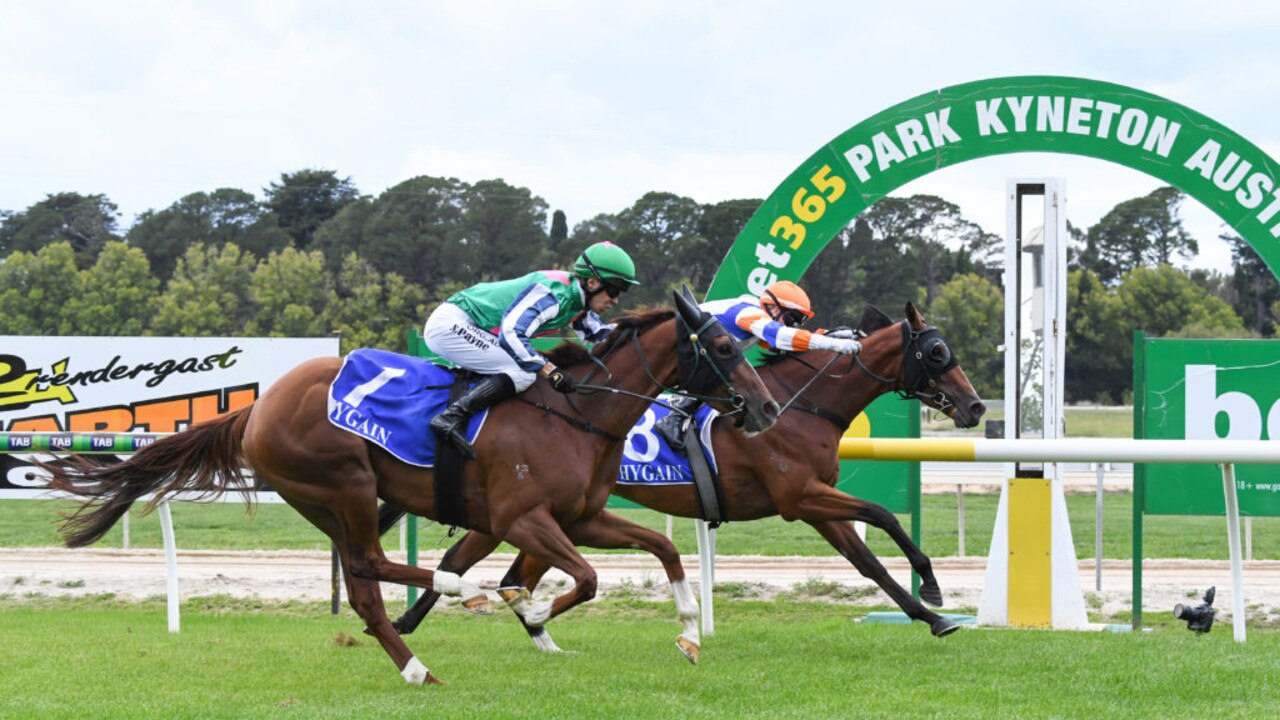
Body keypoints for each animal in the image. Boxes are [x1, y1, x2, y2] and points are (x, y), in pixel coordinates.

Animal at [42, 288, 778, 681]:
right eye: (724, 348)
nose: (767, 409)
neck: (574, 413)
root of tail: (258, 405)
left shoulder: (581, 516)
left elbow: (666, 549)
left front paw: (689, 631)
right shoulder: (521, 517)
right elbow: (587, 579)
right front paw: (531, 610)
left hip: (325, 501)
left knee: (363, 584)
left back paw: (417, 665)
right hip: (343, 482)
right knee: (372, 563)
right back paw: (465, 596)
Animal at [373, 299, 983, 640]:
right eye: (936, 353)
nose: (976, 407)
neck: (800, 404)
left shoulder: (813, 504)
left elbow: (868, 563)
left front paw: (932, 617)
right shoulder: (800, 496)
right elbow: (884, 514)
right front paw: (933, 589)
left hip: (550, 514)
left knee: (508, 573)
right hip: (513, 511)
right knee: (460, 559)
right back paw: (409, 623)